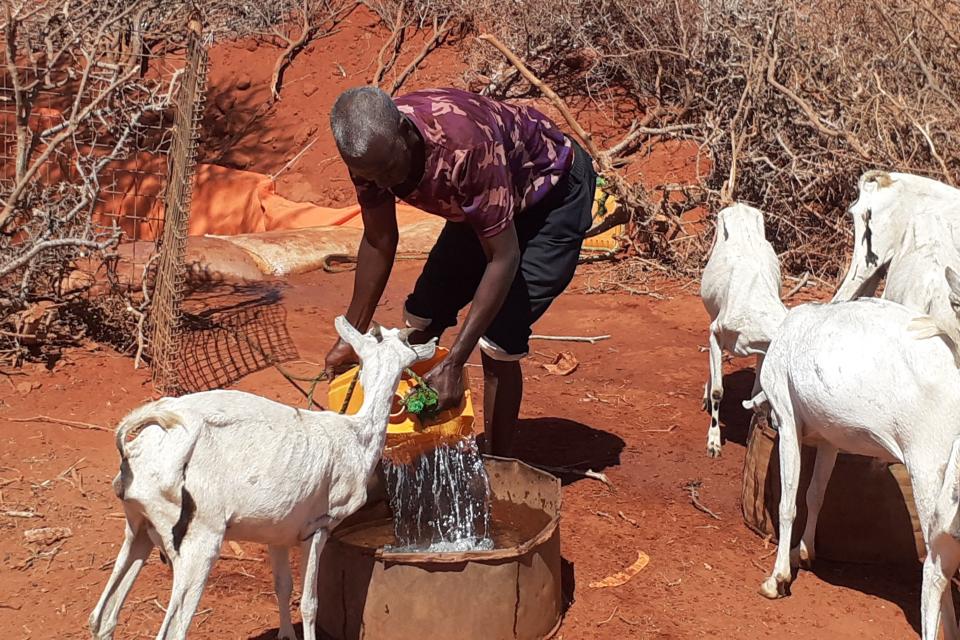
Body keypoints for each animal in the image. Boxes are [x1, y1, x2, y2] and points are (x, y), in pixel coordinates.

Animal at [90, 318, 436, 640]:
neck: (355, 436)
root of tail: (145, 439)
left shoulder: (278, 533)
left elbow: (283, 585)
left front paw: (285, 635)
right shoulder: (320, 526)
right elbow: (309, 603)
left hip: (139, 527)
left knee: (102, 617)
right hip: (199, 539)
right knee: (172, 630)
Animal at [696, 202, 788, 458]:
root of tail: (740, 206)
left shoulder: (764, 349)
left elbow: (757, 392)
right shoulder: (716, 333)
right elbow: (718, 390)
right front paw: (713, 442)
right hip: (711, 313)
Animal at [748, 296, 960, 640]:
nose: (768, 423)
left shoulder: (789, 418)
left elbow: (788, 503)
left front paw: (777, 579)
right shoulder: (829, 440)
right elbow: (815, 494)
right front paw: (803, 552)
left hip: (929, 472)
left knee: (937, 564)